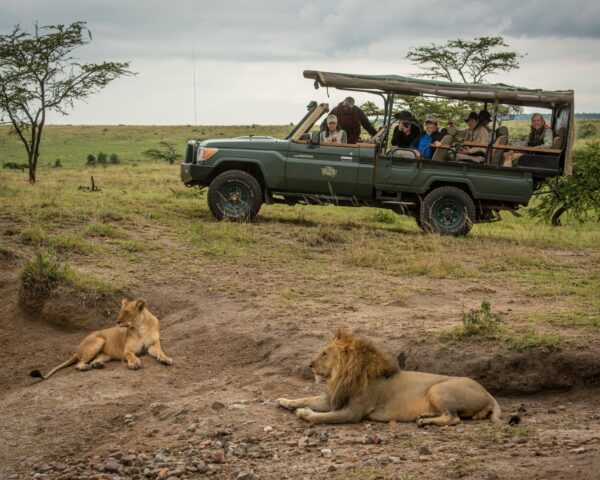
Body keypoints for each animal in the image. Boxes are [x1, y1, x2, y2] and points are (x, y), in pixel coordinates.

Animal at [30, 298, 172, 380]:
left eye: (126, 312)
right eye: (121, 311)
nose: (117, 321)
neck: (140, 326)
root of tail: (78, 349)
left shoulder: (153, 345)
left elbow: (160, 352)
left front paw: (166, 359)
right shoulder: (127, 350)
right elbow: (131, 355)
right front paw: (134, 363)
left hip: (105, 355)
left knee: (94, 360)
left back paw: (97, 364)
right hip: (99, 340)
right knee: (78, 364)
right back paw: (85, 367)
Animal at [278, 330, 502, 428]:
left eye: (324, 353)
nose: (309, 364)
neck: (341, 376)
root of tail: (487, 392)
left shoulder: (353, 412)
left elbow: (321, 416)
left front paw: (304, 413)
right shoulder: (333, 399)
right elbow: (307, 398)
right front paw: (284, 401)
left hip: (438, 389)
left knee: (453, 418)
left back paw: (424, 422)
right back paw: (425, 416)